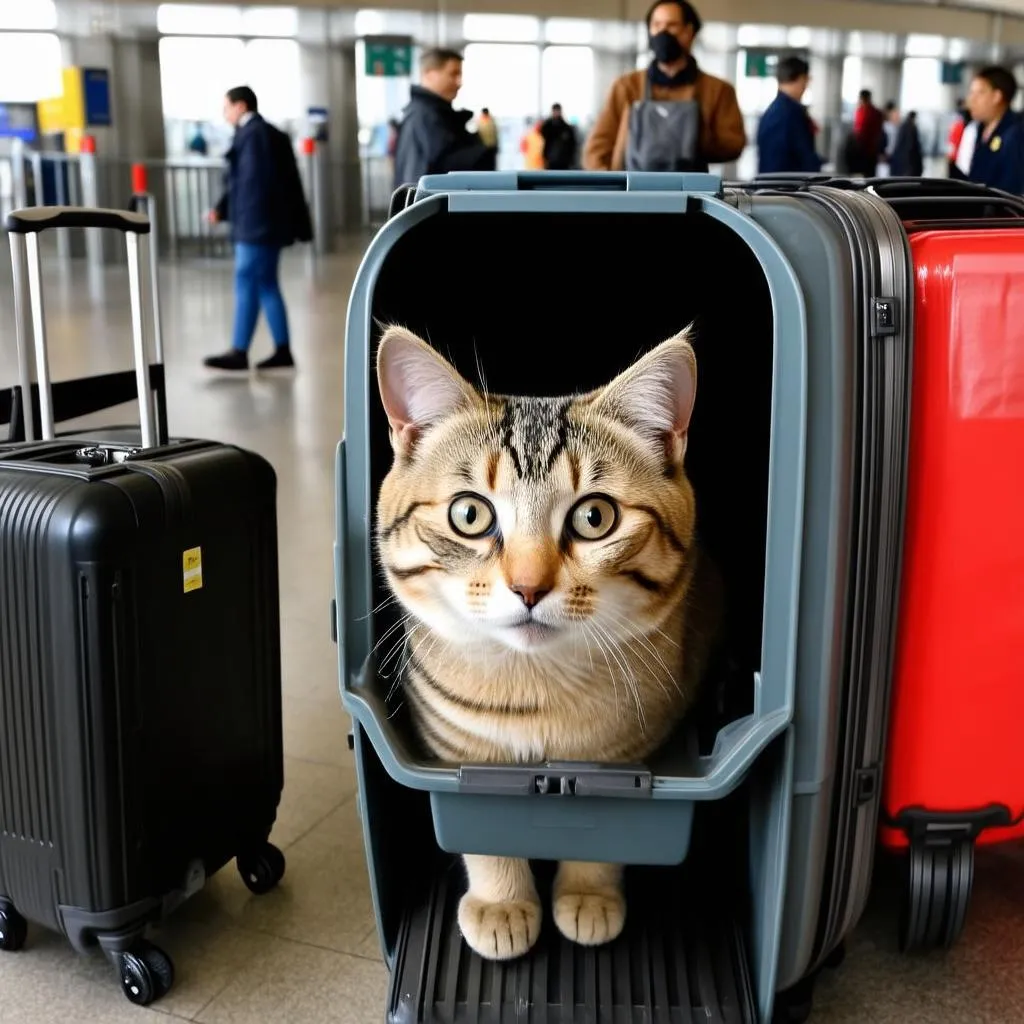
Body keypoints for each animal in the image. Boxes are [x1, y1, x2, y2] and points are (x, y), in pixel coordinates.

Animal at [374, 325, 720, 958]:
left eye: (594, 517)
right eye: (469, 514)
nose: (529, 586)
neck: (538, 689)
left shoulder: (622, 756)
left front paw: (588, 894)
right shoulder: (458, 754)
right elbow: (485, 833)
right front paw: (502, 902)